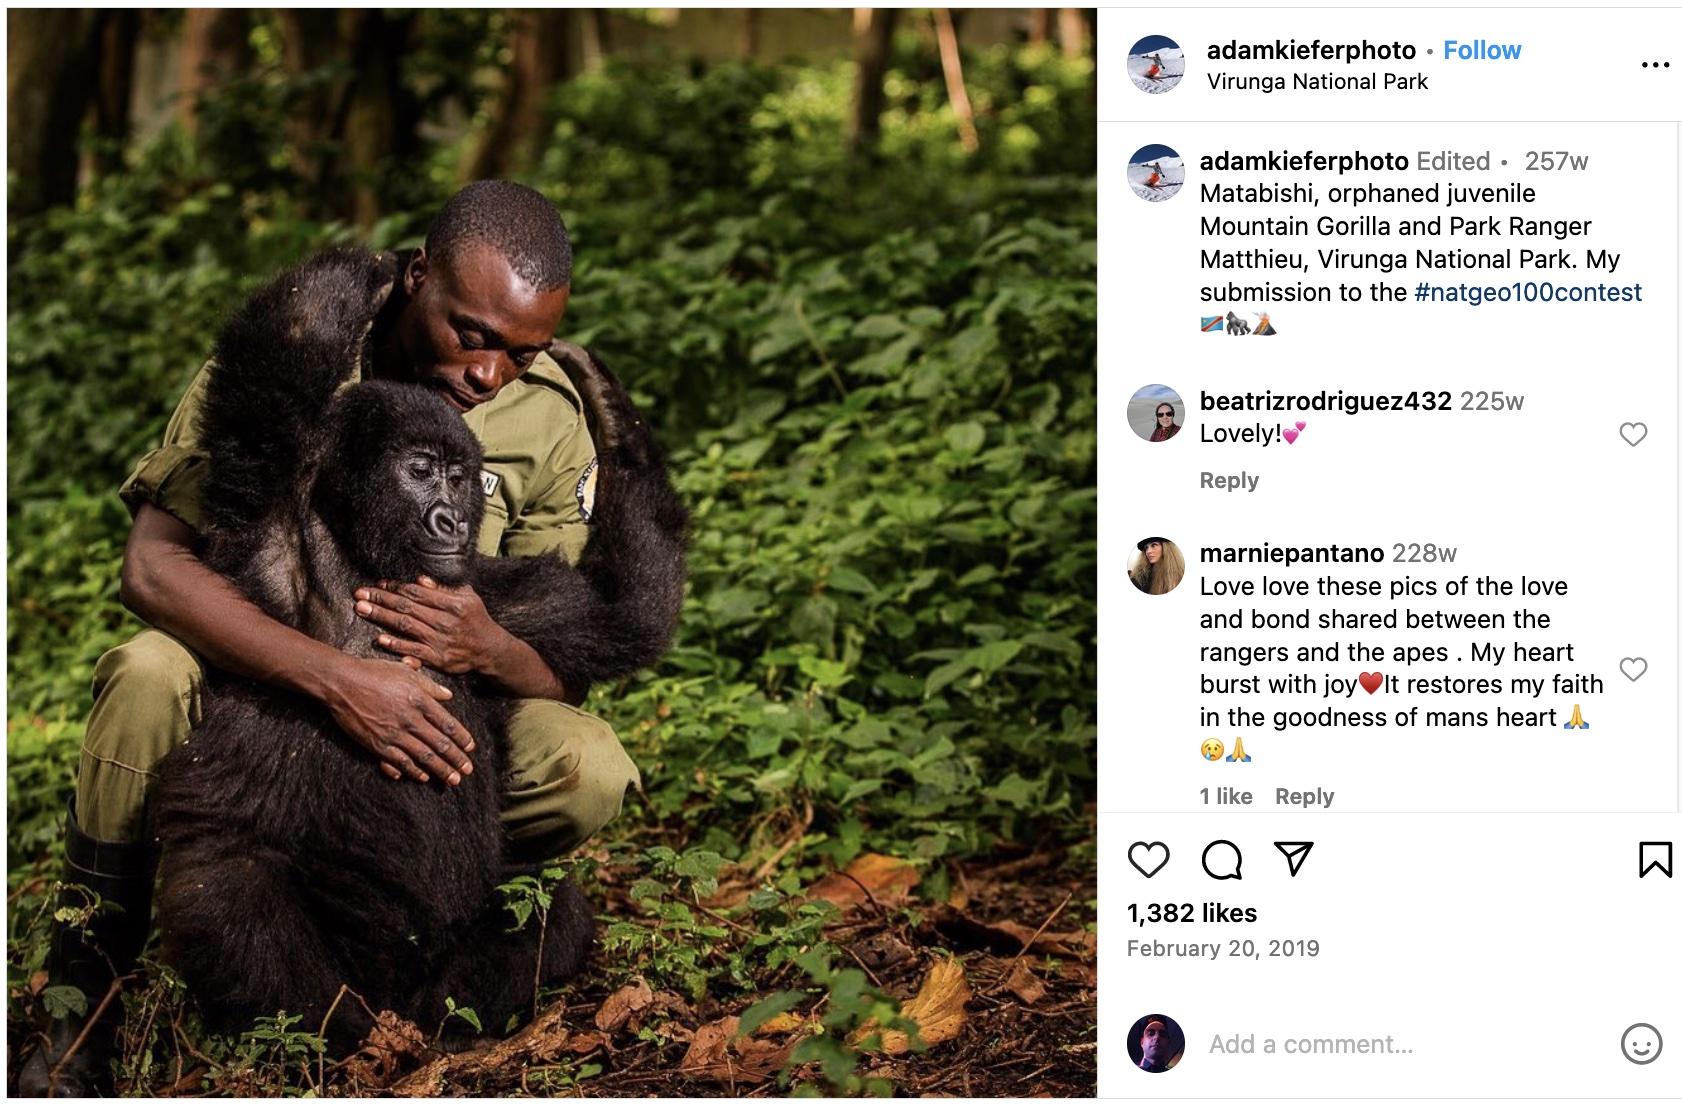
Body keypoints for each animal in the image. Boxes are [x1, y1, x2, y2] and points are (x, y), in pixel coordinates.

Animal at [151, 247, 686, 1042]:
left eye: (462, 479)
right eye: (420, 470)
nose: (451, 520)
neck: (366, 555)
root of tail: (396, 999)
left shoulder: (494, 595)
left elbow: (622, 614)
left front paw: (615, 415)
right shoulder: (267, 537)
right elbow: (277, 371)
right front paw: (371, 267)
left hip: (442, 965)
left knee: (551, 905)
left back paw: (458, 1026)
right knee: (224, 889)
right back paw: (341, 1037)